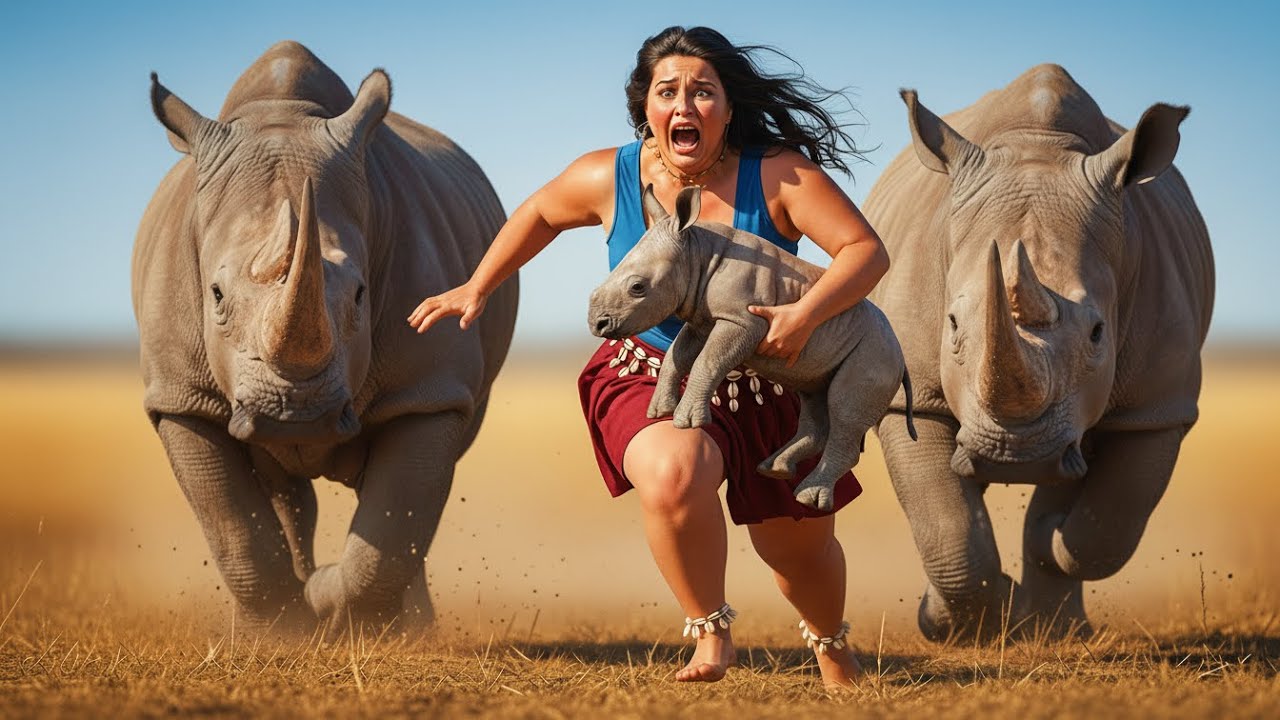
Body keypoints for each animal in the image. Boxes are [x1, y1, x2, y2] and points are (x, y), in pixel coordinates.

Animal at [132, 41, 517, 628]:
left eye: (360, 295)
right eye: (215, 295)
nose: (295, 412)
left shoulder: (428, 390)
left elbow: (393, 525)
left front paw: (339, 609)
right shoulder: (180, 395)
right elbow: (234, 529)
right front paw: (275, 634)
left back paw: (404, 626)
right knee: (289, 497)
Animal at [587, 185, 916, 511]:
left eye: (637, 288)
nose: (596, 325)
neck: (696, 252)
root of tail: (901, 356)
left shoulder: (742, 320)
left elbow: (707, 360)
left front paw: (686, 421)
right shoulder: (701, 319)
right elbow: (677, 355)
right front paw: (658, 411)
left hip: (875, 353)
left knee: (843, 407)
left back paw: (808, 497)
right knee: (814, 399)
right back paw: (774, 469)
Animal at [865, 64, 1214, 640]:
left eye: (1098, 333)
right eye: (952, 323)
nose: (1015, 455)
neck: (1038, 145)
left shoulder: (1157, 407)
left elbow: (1105, 530)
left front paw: (1050, 535)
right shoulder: (911, 392)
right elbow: (946, 524)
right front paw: (958, 624)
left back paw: (1057, 622)